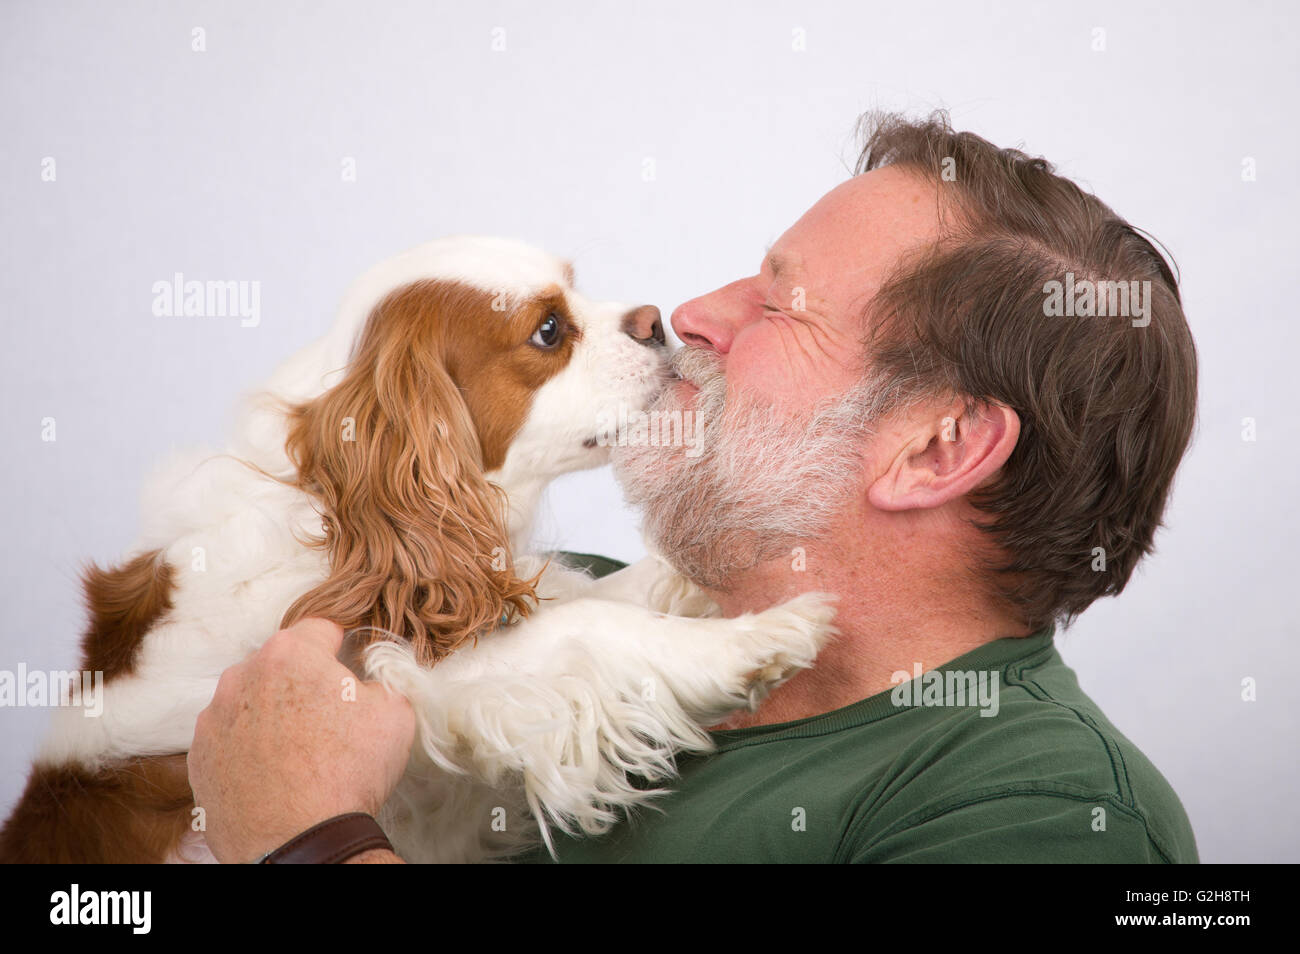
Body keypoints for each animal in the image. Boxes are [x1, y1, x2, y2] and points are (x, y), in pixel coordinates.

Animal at [0, 239, 832, 868]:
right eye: (548, 331)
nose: (656, 321)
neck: (336, 514)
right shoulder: (413, 672)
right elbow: (592, 628)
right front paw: (758, 639)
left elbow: (609, 591)